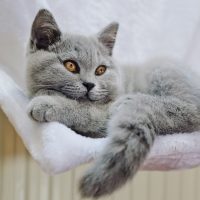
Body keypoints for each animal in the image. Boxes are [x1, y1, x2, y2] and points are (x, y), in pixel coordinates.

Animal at [27, 9, 200, 197]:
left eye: (100, 70)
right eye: (70, 65)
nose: (89, 84)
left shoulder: (102, 115)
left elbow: (84, 110)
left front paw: (48, 103)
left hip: (162, 69)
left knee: (192, 110)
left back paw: (132, 100)